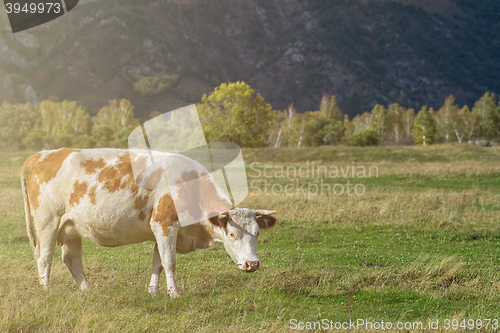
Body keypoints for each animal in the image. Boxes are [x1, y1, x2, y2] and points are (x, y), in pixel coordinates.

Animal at [20, 148, 278, 296]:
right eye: (232, 235)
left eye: (257, 233)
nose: (252, 264)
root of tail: (39, 155)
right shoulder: (164, 224)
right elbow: (170, 262)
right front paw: (174, 294)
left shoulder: (162, 230)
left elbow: (158, 263)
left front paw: (153, 292)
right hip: (48, 223)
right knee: (44, 257)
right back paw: (46, 291)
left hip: (70, 227)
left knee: (71, 258)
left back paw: (88, 291)